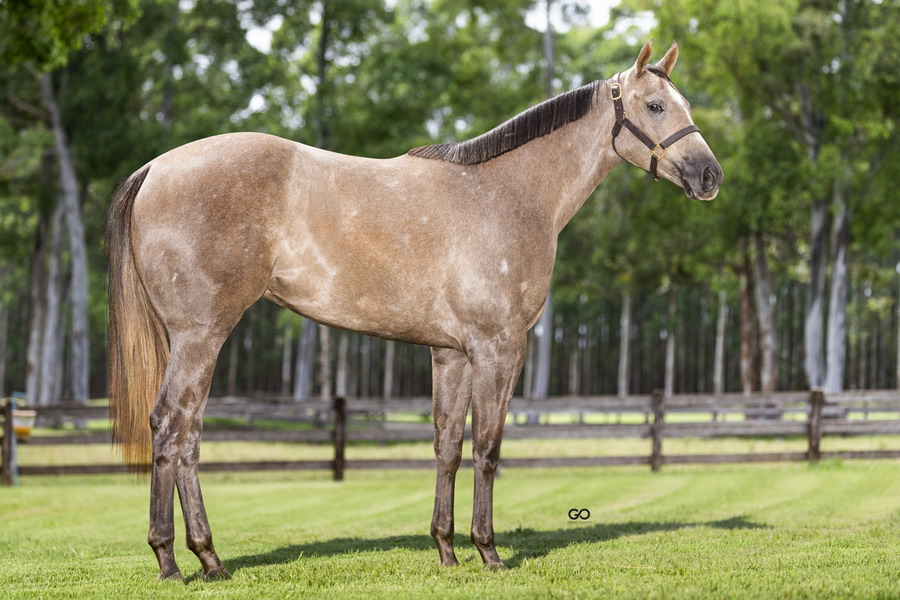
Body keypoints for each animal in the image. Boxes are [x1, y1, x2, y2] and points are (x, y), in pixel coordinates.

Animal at [105, 39, 722, 580]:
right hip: (200, 335)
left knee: (187, 436)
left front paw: (447, 551)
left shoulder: (450, 354)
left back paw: (205, 560)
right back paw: (175, 560)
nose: (710, 175)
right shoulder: (499, 348)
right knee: (172, 427)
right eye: (656, 105)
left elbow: (447, 446)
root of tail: (155, 169)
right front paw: (488, 551)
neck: (508, 194)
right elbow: (488, 447)